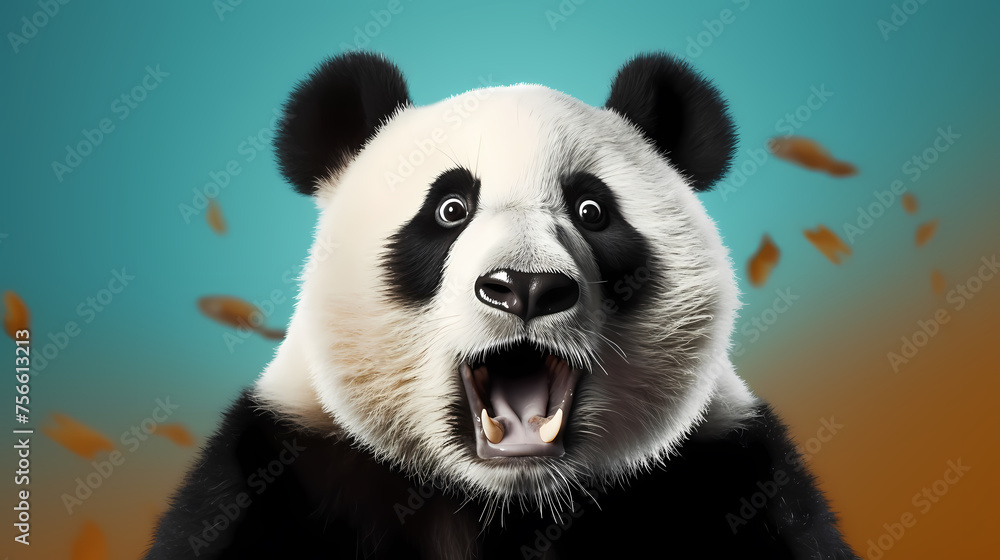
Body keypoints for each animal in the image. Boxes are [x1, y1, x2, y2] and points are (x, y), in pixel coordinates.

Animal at [145, 52, 858, 559]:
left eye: (592, 210)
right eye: (450, 209)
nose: (527, 287)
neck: (512, 504)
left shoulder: (733, 475)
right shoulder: (289, 466)